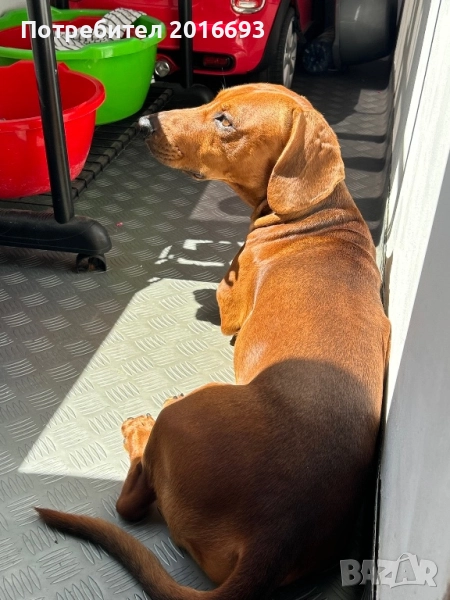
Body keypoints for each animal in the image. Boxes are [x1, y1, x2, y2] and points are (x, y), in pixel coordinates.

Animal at [37, 84, 391, 600]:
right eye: (214, 100)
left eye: (225, 120)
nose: (144, 123)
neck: (319, 213)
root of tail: (273, 539)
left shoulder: (230, 301)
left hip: (186, 417)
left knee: (130, 503)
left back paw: (141, 428)